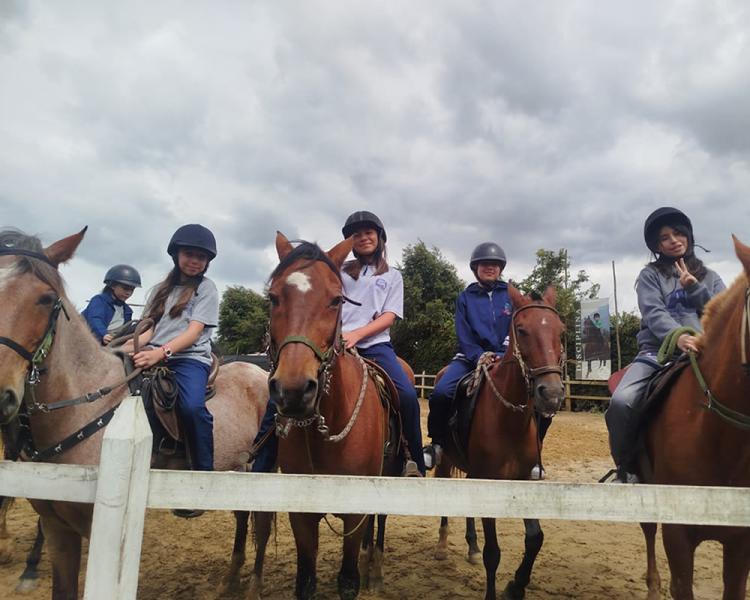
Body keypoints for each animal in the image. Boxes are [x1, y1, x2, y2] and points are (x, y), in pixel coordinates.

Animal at [0, 228, 269, 600]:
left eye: (46, 299)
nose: (1, 393)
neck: (86, 407)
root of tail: (261, 372)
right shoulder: (57, 528)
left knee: (262, 522)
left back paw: (255, 583)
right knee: (243, 516)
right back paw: (231, 579)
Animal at [259, 232, 403, 600]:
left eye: (336, 299)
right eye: (273, 297)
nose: (294, 390)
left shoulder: (355, 512)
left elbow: (348, 581)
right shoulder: (302, 517)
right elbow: (305, 582)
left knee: (380, 520)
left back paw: (376, 569)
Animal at [433, 285, 565, 600]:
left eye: (561, 331)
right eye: (522, 330)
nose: (552, 394)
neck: (509, 420)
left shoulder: (523, 480)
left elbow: (535, 538)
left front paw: (515, 586)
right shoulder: (489, 480)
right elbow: (493, 553)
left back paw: (471, 545)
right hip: (447, 460)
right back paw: (443, 546)